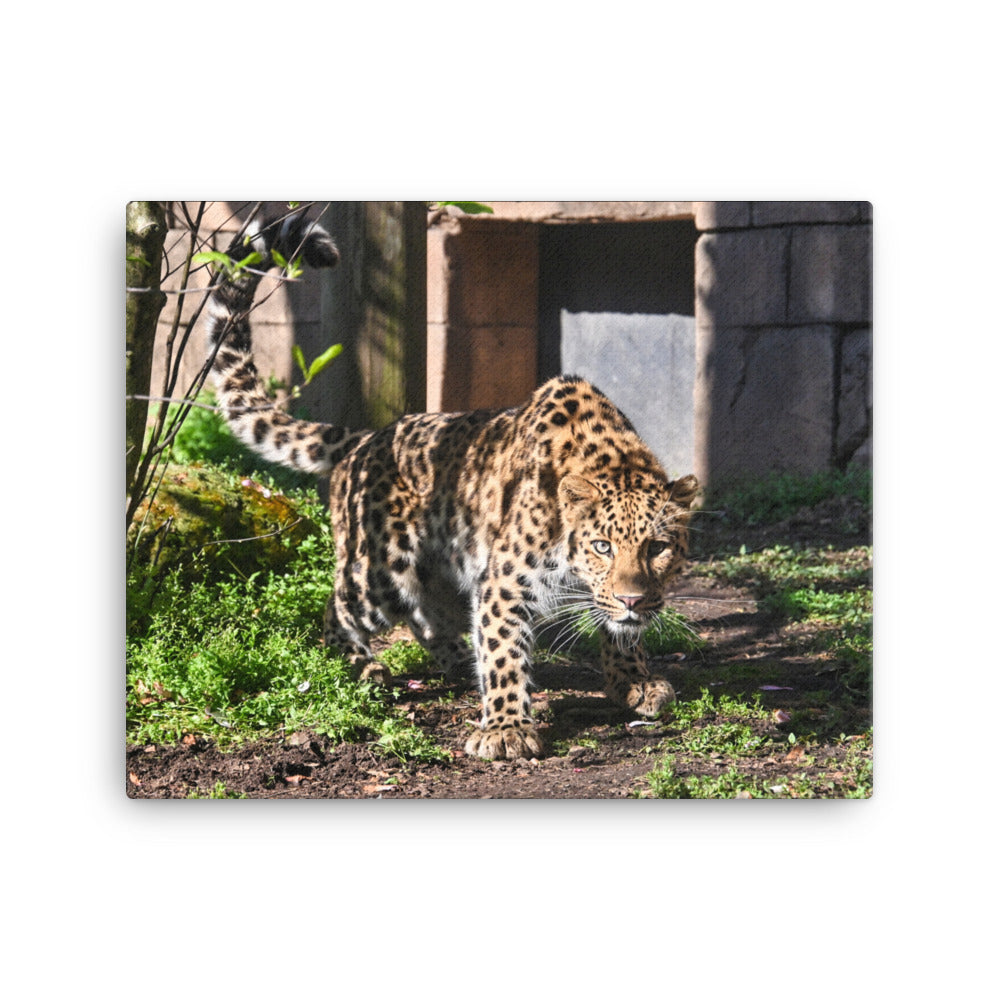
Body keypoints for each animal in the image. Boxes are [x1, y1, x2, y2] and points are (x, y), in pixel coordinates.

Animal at [205, 210, 699, 760]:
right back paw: (365, 668)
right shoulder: (507, 579)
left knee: (429, 615)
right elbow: (505, 649)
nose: (634, 599)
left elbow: (615, 629)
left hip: (437, 567)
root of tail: (366, 437)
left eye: (657, 547)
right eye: (602, 546)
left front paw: (634, 681)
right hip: (380, 572)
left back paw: (462, 661)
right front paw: (505, 728)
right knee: (337, 610)